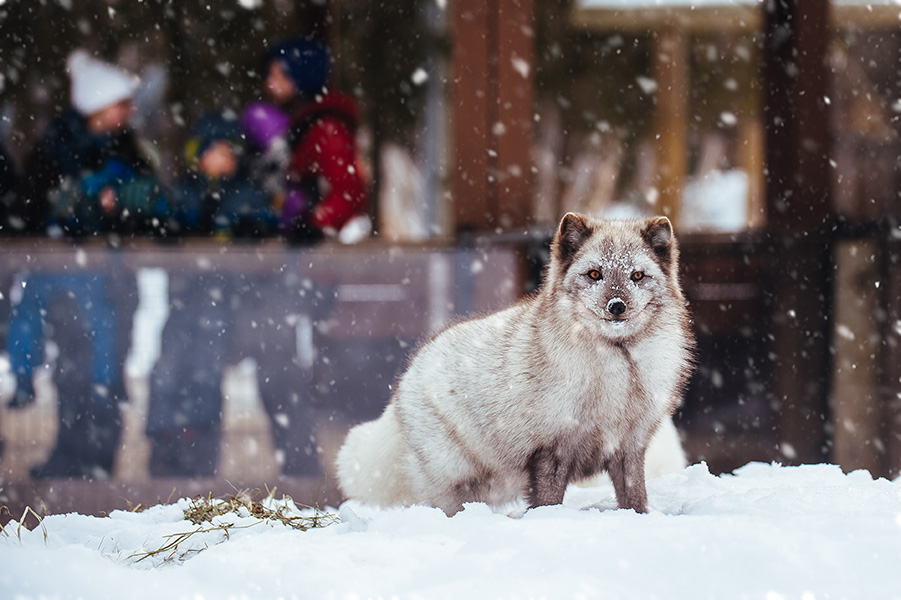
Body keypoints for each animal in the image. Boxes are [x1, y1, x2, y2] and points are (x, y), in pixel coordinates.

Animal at [334, 213, 692, 512]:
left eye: (637, 276)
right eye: (595, 274)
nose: (616, 305)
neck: (619, 366)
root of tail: (403, 381)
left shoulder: (629, 446)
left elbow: (635, 496)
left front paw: (640, 518)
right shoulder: (551, 449)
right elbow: (548, 500)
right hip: (453, 481)